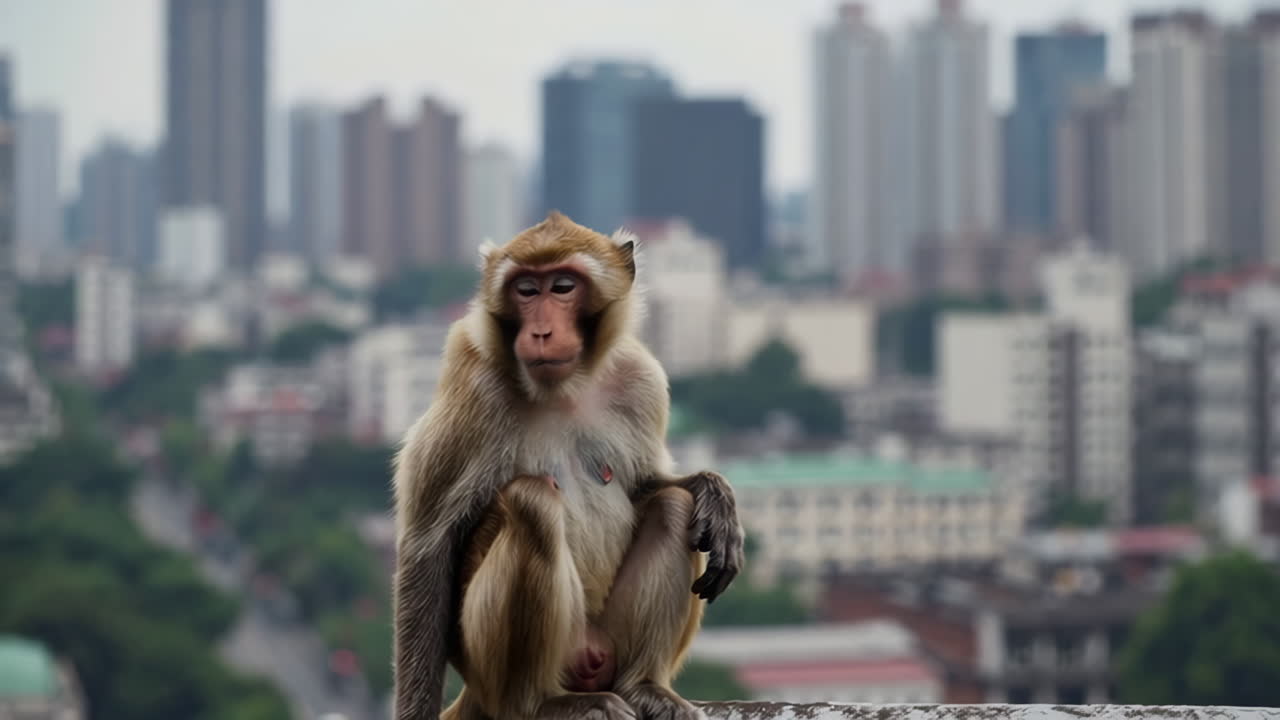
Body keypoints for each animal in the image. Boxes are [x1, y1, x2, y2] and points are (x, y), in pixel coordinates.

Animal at [391, 210, 745, 720]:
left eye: (561, 287)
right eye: (525, 290)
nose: (540, 331)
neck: (565, 385)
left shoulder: (640, 379)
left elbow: (645, 485)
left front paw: (712, 492)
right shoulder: (473, 385)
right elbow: (428, 545)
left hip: (603, 642)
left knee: (674, 508)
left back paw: (643, 687)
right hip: (491, 658)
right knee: (532, 503)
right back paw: (539, 702)